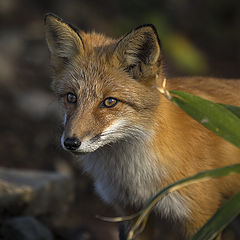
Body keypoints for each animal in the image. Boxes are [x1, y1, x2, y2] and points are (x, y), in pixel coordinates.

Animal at [44, 13, 240, 240]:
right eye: (71, 97)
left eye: (109, 102)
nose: (71, 142)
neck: (134, 177)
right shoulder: (131, 212)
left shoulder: (201, 215)